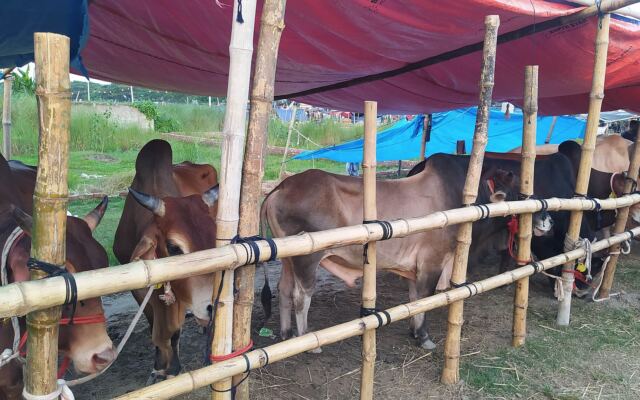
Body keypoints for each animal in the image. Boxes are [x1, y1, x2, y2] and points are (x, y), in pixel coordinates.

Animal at [113, 139, 219, 383]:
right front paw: (159, 366)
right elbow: (155, 325)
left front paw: (173, 367)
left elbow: (175, 332)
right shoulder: (140, 290)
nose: (212, 306)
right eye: (173, 248)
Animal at [260, 157, 527, 351]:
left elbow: (414, 299)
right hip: (307, 258)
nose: (538, 220)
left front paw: (413, 330)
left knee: (284, 290)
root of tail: (282, 187)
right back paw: (308, 341)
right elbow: (425, 298)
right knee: (301, 296)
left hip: (289, 260)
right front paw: (423, 336)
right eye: (516, 192)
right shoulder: (432, 262)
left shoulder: (416, 268)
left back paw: (285, 334)